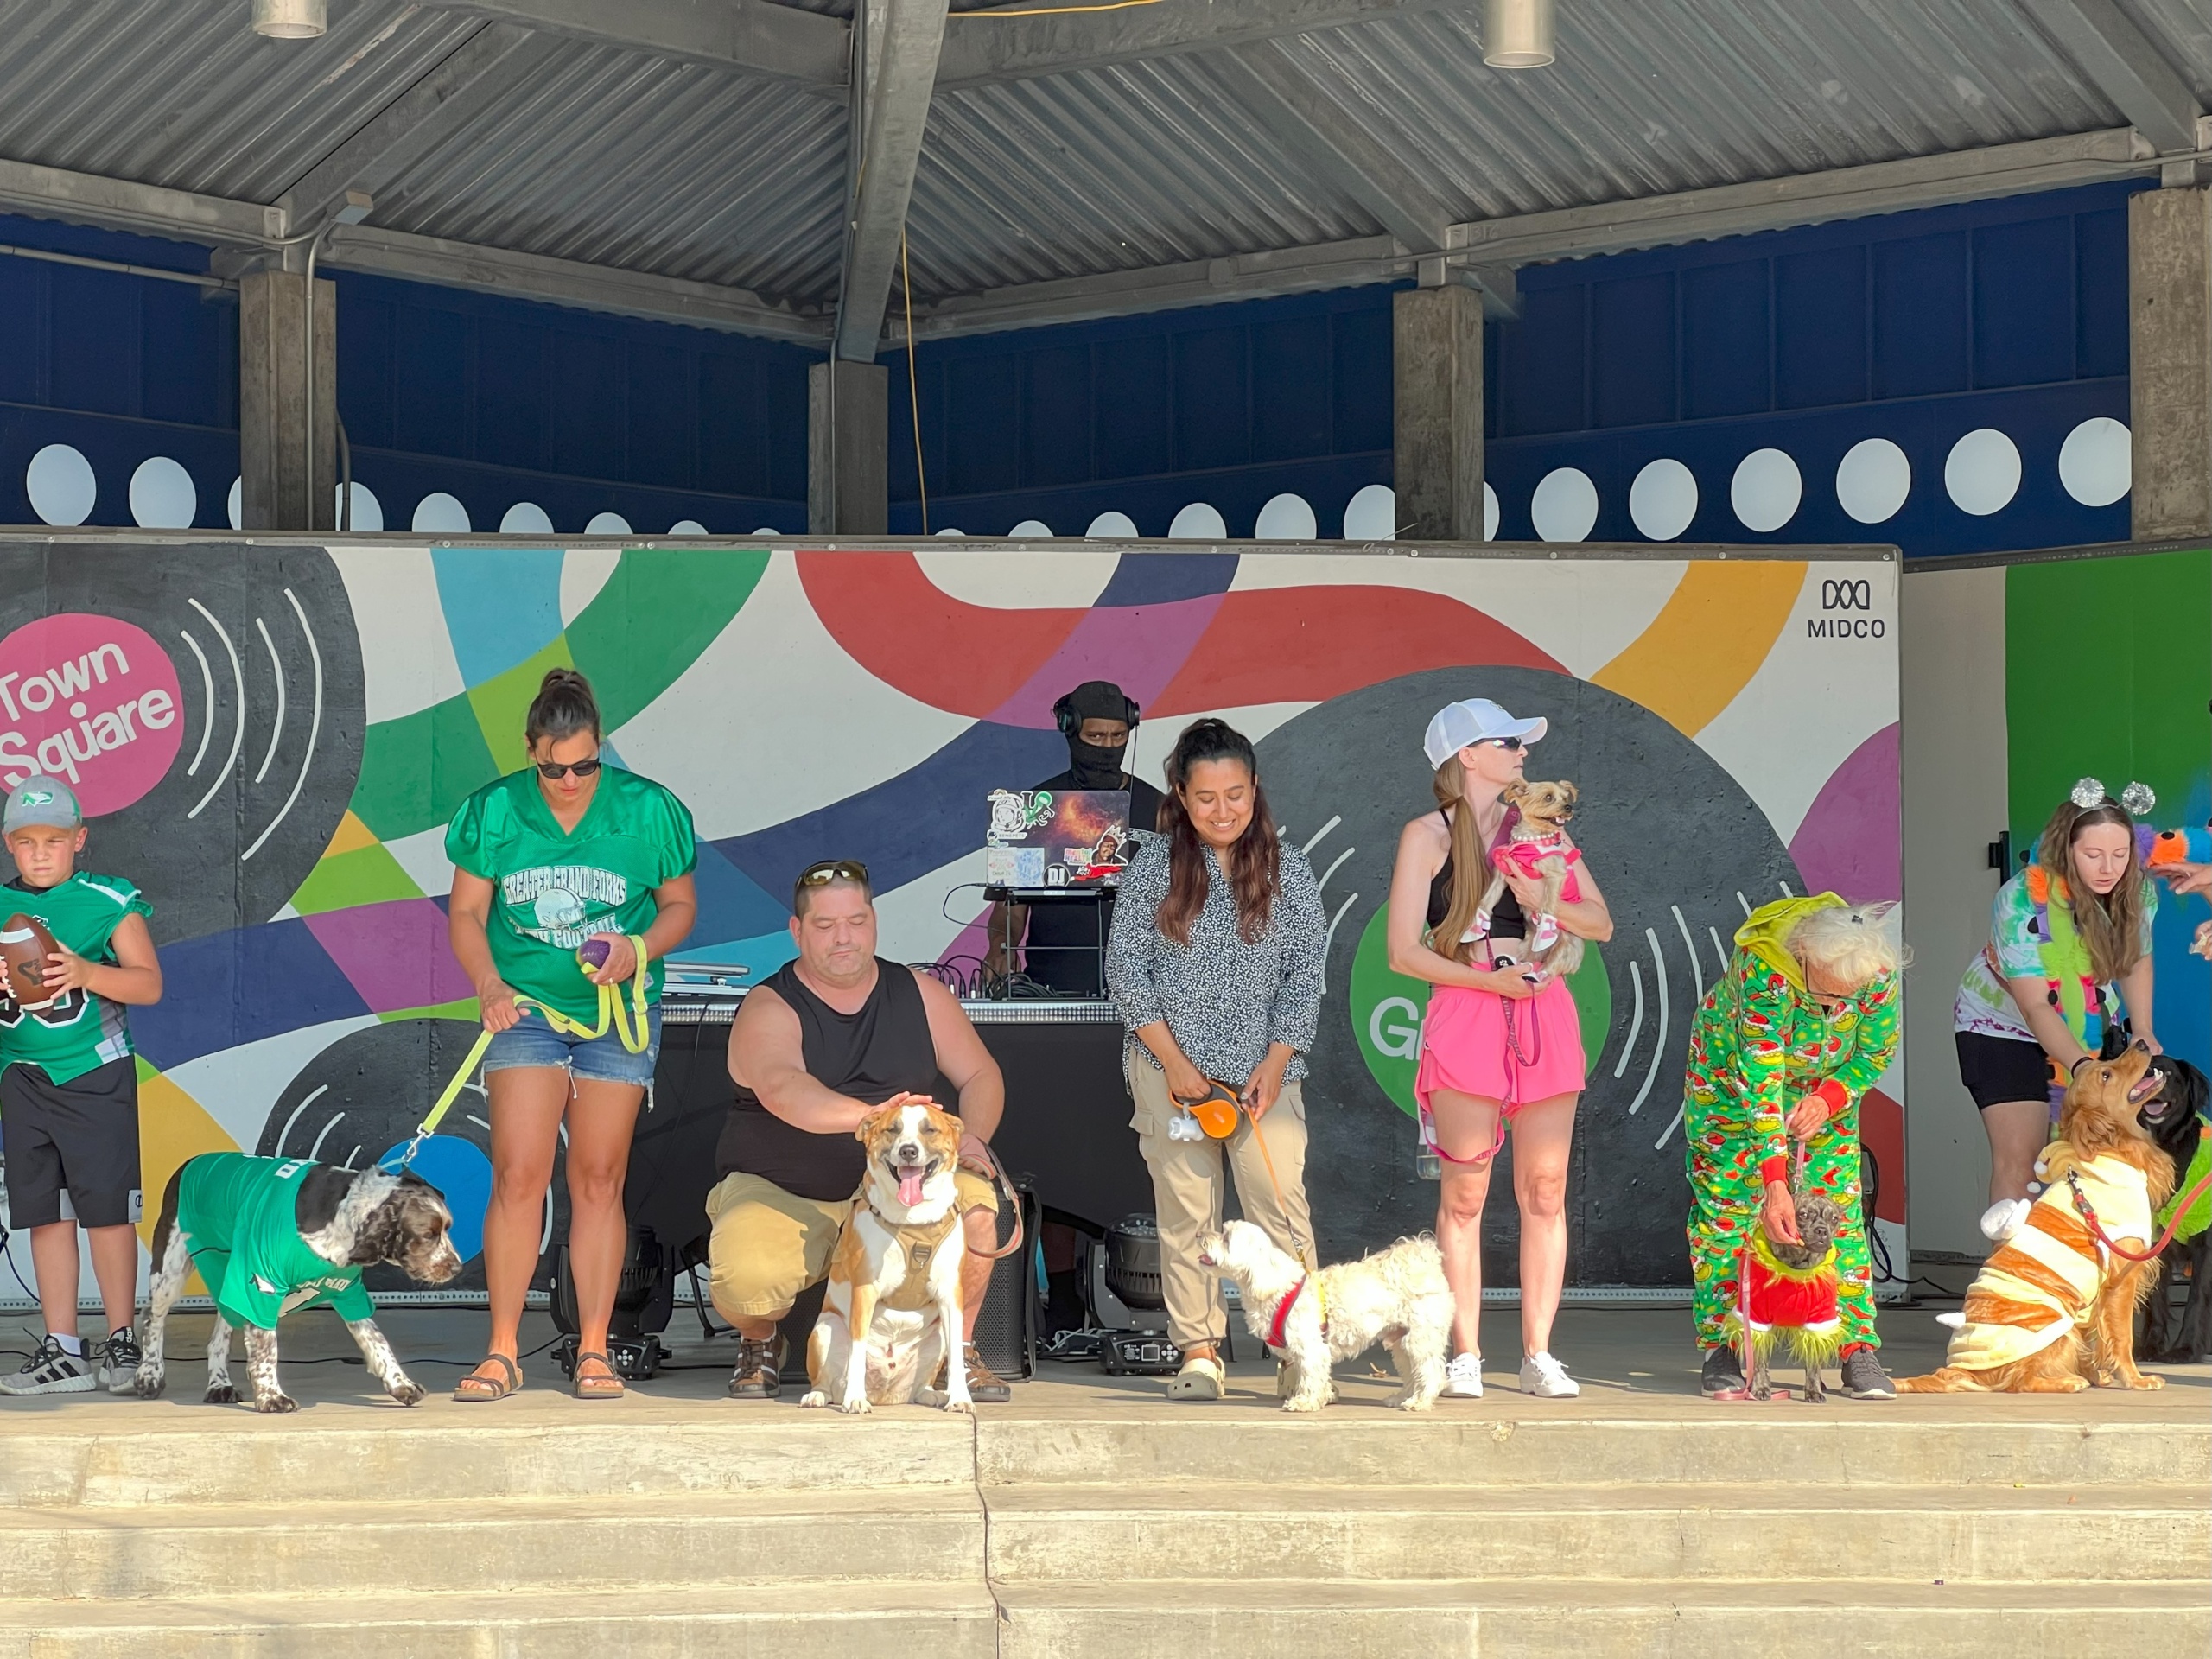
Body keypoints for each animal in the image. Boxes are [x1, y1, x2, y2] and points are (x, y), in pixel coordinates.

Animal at [135, 1159, 462, 1415]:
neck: (339, 1218)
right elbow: (267, 1349)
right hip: (172, 1267)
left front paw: (400, 1384)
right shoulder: (261, 1283)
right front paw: (272, 1398)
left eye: (448, 1228)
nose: (457, 1268)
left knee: (218, 1337)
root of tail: (188, 1164)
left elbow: (377, 1342)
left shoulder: (349, 1292)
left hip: (226, 1277)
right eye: (428, 1234)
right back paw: (149, 1375)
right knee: (153, 1318)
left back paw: (219, 1385)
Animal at [1194, 1221, 1451, 1415]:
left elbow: (1309, 1375)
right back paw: (1402, 1397)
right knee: (1411, 1371)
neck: (1274, 1286)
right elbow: (1315, 1375)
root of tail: (1426, 1262)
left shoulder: (1309, 1346)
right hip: (1400, 1341)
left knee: (1431, 1371)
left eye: (1226, 1238)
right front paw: (1322, 1396)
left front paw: (1304, 1402)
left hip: (1420, 1337)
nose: (1198, 1234)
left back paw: (1420, 1401)